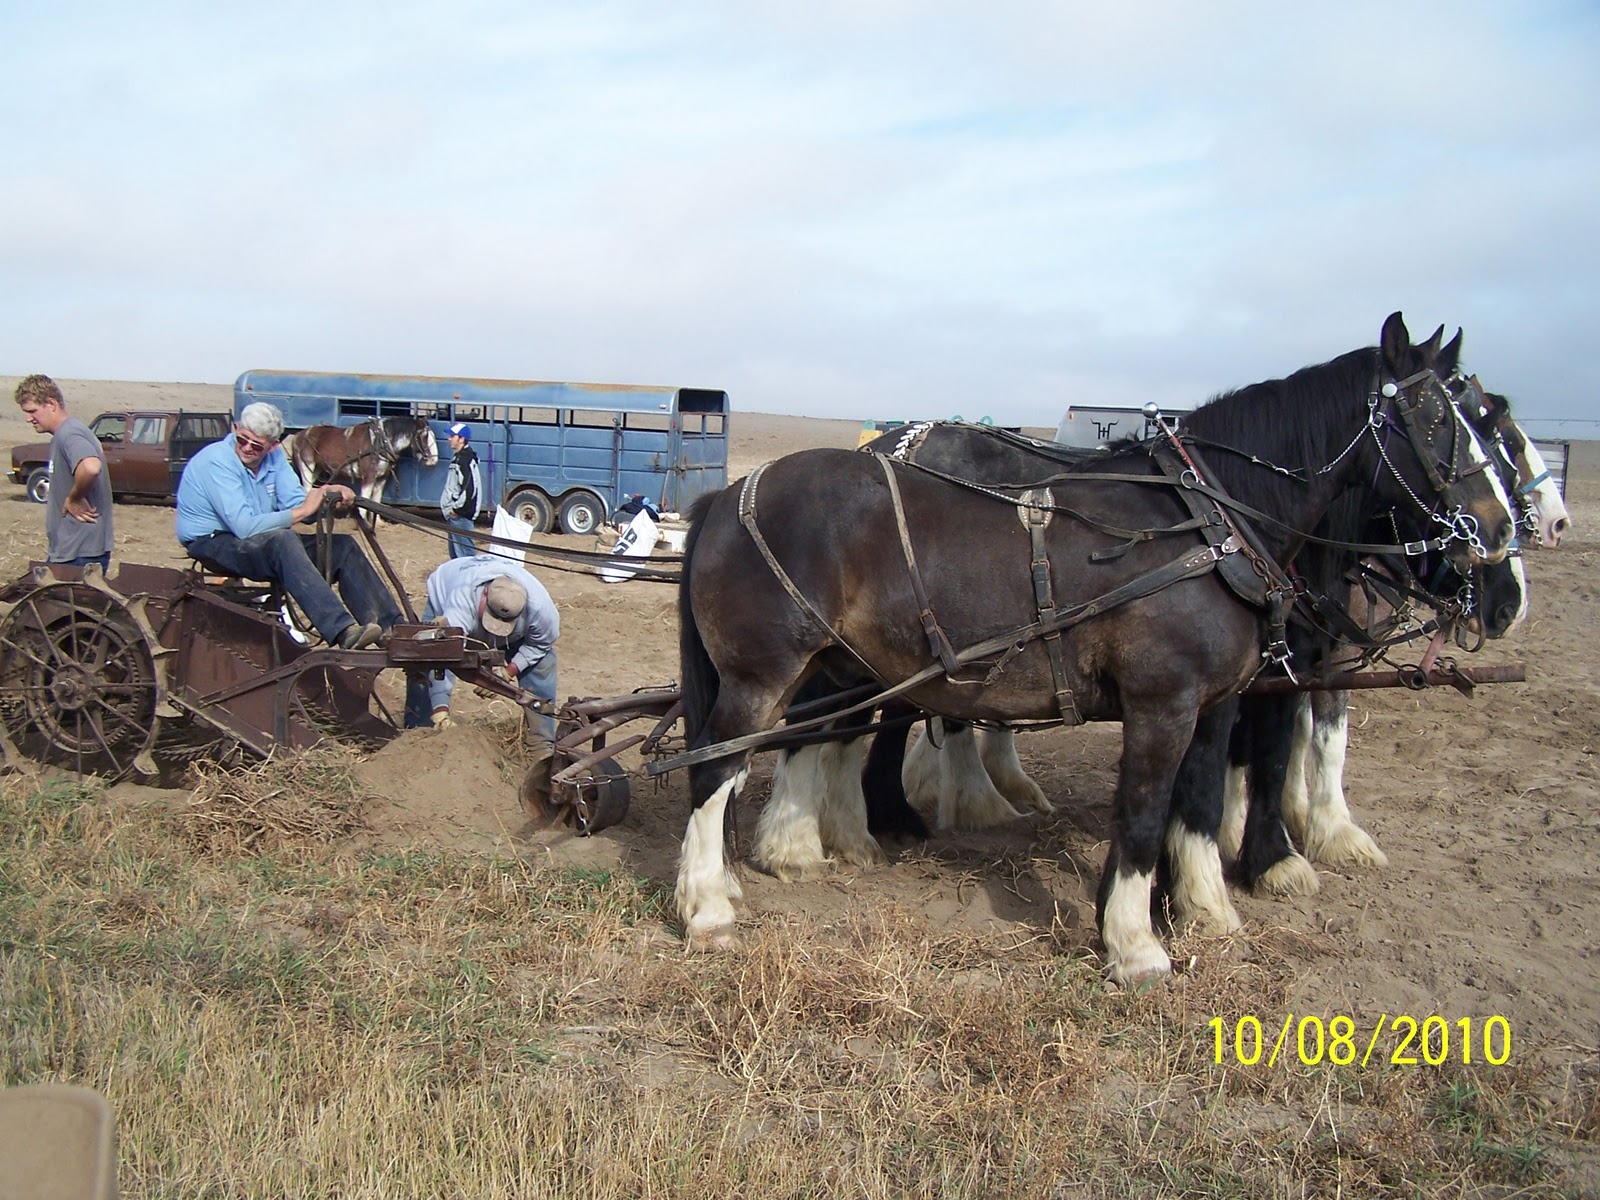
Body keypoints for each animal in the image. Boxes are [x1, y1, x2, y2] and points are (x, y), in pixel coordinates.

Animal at [282, 416, 440, 514]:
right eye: (424, 436)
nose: (434, 460)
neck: (380, 442)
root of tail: (298, 435)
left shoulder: (382, 477)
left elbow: (376, 501)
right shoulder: (368, 477)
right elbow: (365, 504)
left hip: (317, 469)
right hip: (306, 468)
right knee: (307, 489)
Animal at [676, 313, 1517, 984]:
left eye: (1483, 419)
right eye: (1437, 420)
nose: (1500, 535)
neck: (1209, 526)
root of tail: (728, 492)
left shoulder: (1212, 705)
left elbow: (1195, 801)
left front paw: (1198, 905)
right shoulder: (1162, 702)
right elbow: (1143, 813)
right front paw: (1137, 946)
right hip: (762, 674)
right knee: (717, 766)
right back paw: (711, 904)